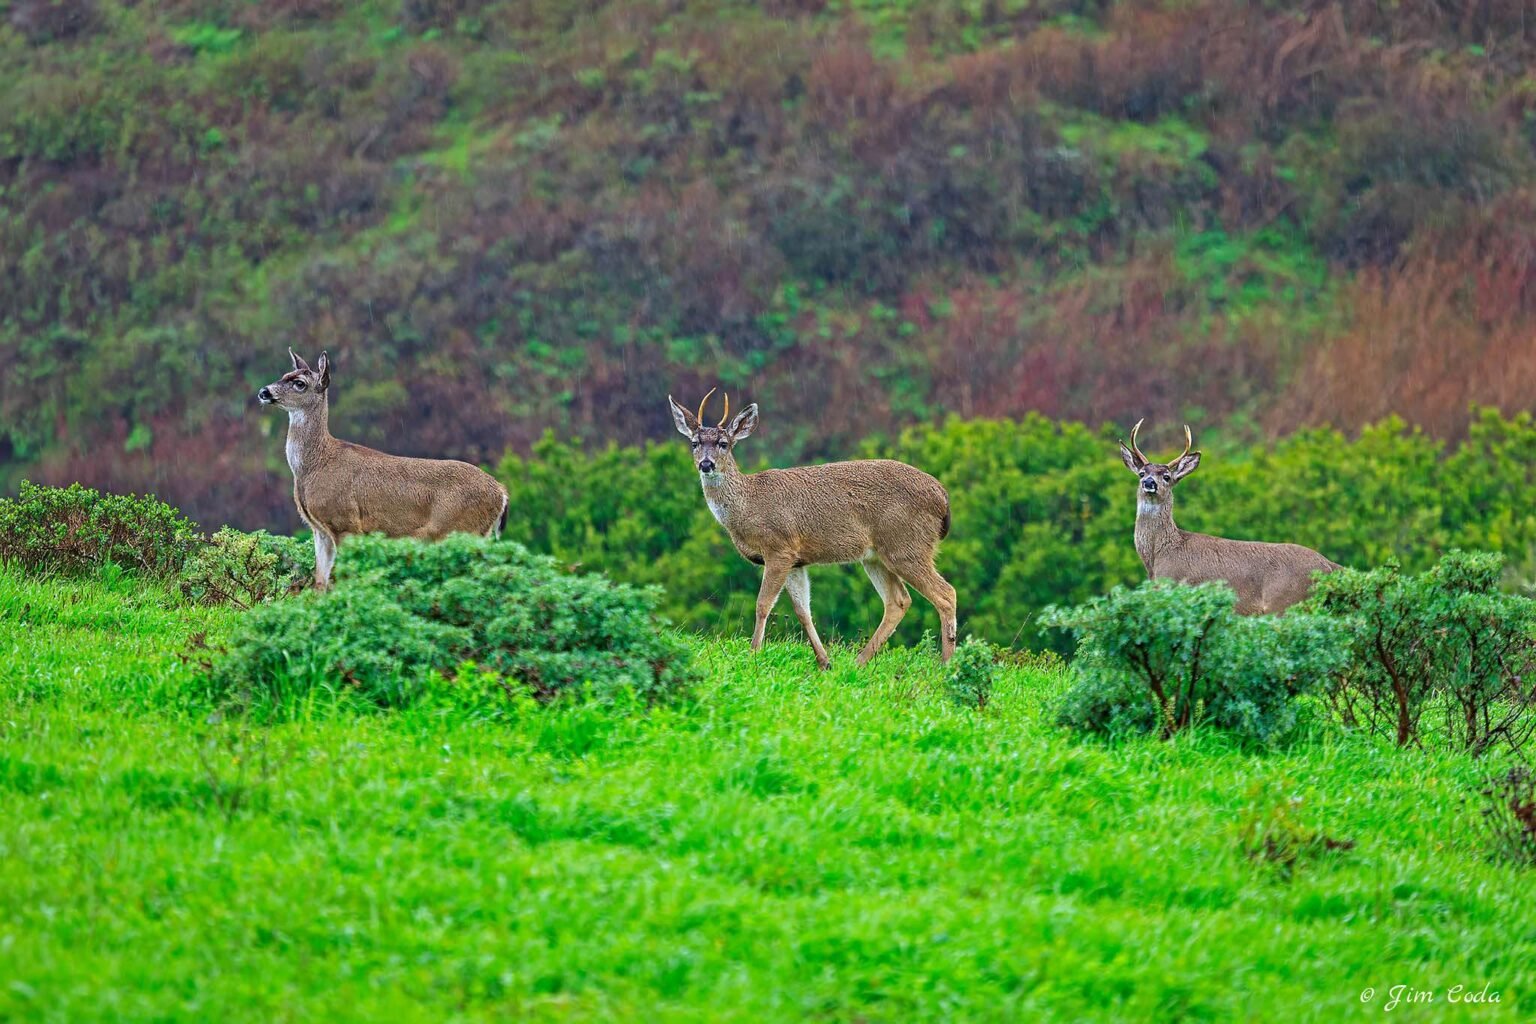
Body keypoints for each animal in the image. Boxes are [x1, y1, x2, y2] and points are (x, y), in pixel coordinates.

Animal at [257, 349, 508, 589]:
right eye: (284, 375)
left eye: (300, 383)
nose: (264, 391)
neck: (315, 465)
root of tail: (502, 492)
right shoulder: (319, 530)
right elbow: (321, 581)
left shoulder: (345, 522)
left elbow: (342, 579)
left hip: (462, 528)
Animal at [668, 389, 958, 669]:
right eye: (694, 443)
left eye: (723, 444)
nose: (706, 464)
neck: (748, 506)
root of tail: (943, 498)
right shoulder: (797, 560)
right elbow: (803, 610)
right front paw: (824, 661)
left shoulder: (779, 547)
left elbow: (763, 604)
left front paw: (753, 654)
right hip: (876, 556)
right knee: (898, 601)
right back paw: (859, 662)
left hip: (906, 545)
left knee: (946, 594)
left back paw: (946, 665)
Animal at [1118, 419, 1341, 614]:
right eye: (1141, 473)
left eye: (1166, 477)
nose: (1149, 482)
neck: (1158, 556)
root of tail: (1329, 566)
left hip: (1287, 602)